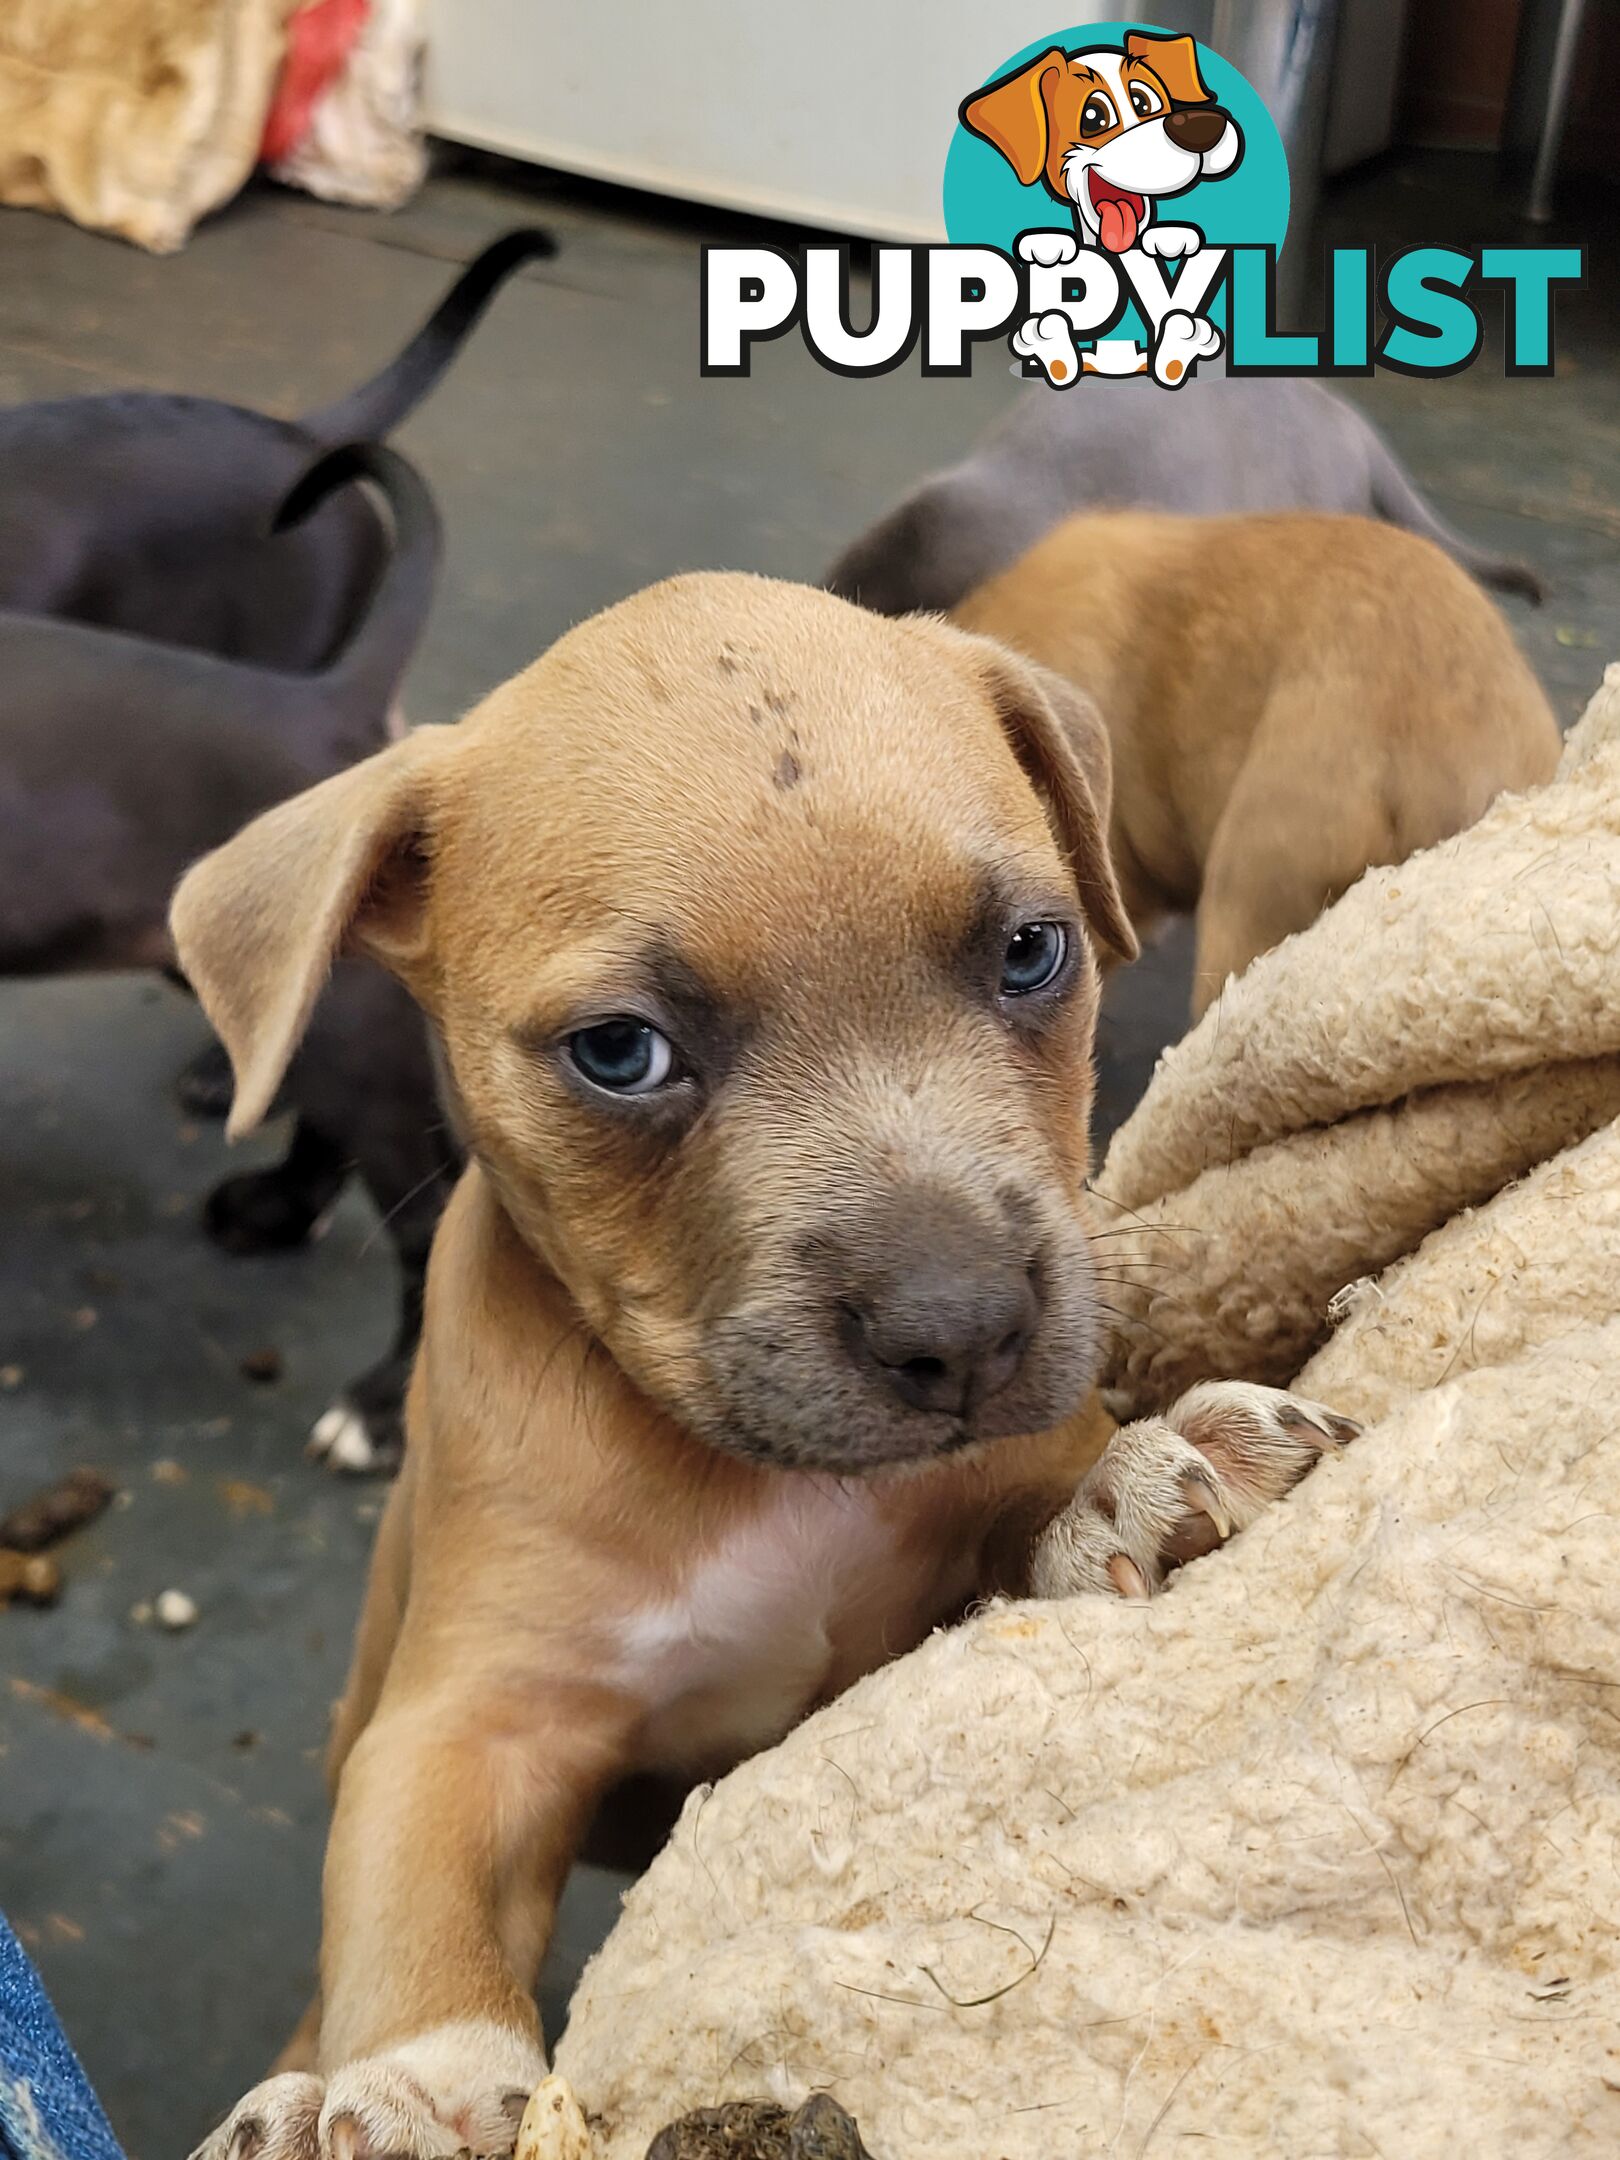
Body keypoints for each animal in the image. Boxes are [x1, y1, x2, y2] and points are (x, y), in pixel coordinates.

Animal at [171, 574, 1356, 2160]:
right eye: (619, 1051)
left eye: (1031, 952)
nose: (962, 1330)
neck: (760, 1484)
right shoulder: (472, 1716)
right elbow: (417, 1906)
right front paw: (413, 2091)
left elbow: (1029, 1515)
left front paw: (1127, 1487)